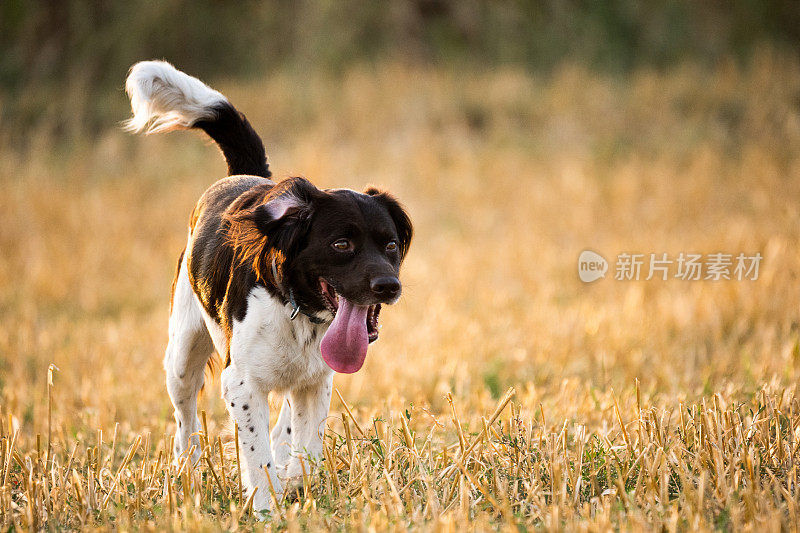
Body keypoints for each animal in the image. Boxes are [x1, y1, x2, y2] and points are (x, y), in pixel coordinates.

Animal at [126, 60, 412, 512]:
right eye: (341, 244)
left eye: (391, 245)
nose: (388, 285)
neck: (297, 310)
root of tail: (243, 175)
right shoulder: (240, 382)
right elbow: (255, 454)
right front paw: (265, 508)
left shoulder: (317, 381)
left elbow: (306, 445)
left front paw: (296, 484)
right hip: (182, 355)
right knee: (186, 422)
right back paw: (186, 474)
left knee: (282, 426)